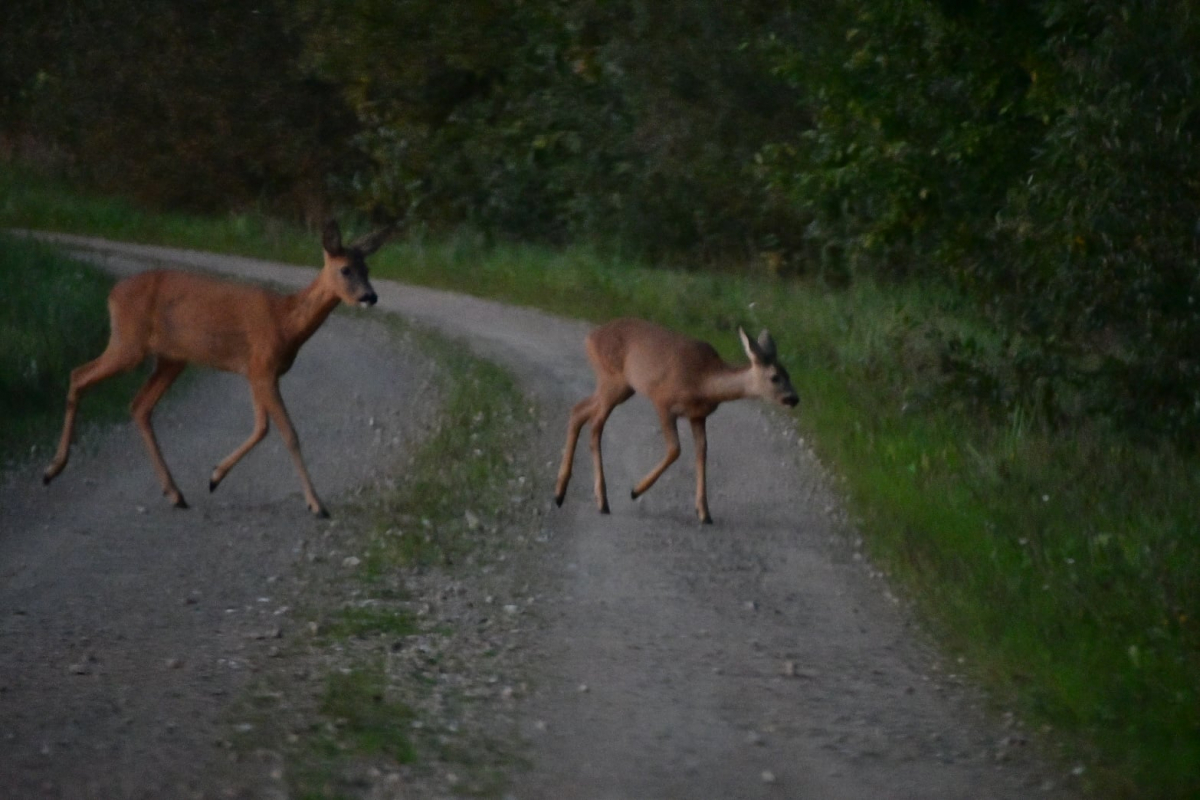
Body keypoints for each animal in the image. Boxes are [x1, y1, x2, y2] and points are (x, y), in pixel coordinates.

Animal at [43, 219, 393, 520]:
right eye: (345, 269)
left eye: (368, 268)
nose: (370, 296)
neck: (285, 322)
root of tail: (112, 293)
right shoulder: (262, 366)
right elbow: (289, 434)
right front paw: (317, 505)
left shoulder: (257, 372)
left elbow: (261, 427)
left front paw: (214, 476)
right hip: (128, 343)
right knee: (79, 375)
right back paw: (52, 469)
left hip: (171, 358)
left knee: (139, 405)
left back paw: (175, 494)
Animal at [554, 319, 801, 525]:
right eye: (775, 377)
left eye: (789, 374)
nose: (794, 398)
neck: (704, 382)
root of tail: (590, 338)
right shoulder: (663, 401)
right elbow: (675, 449)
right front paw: (635, 491)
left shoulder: (698, 416)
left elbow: (702, 453)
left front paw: (704, 513)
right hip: (612, 381)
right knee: (595, 426)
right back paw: (601, 501)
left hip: (621, 387)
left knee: (578, 411)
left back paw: (560, 493)